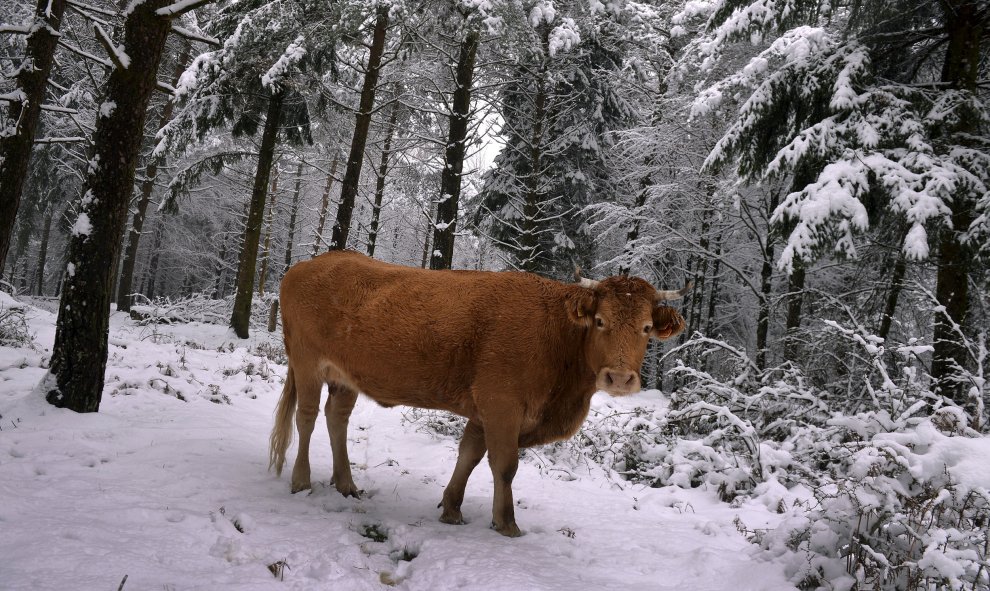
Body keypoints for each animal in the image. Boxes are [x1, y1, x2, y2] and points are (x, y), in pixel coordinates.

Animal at [272, 252, 688, 540]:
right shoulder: (502, 404)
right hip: (307, 362)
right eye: (600, 321)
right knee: (306, 416)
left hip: (345, 379)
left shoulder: (483, 409)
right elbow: (504, 465)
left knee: (336, 417)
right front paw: (506, 523)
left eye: (646, 328)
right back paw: (301, 481)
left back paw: (346, 484)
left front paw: (451, 508)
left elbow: (469, 454)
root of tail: (308, 264)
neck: (557, 335)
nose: (619, 377)